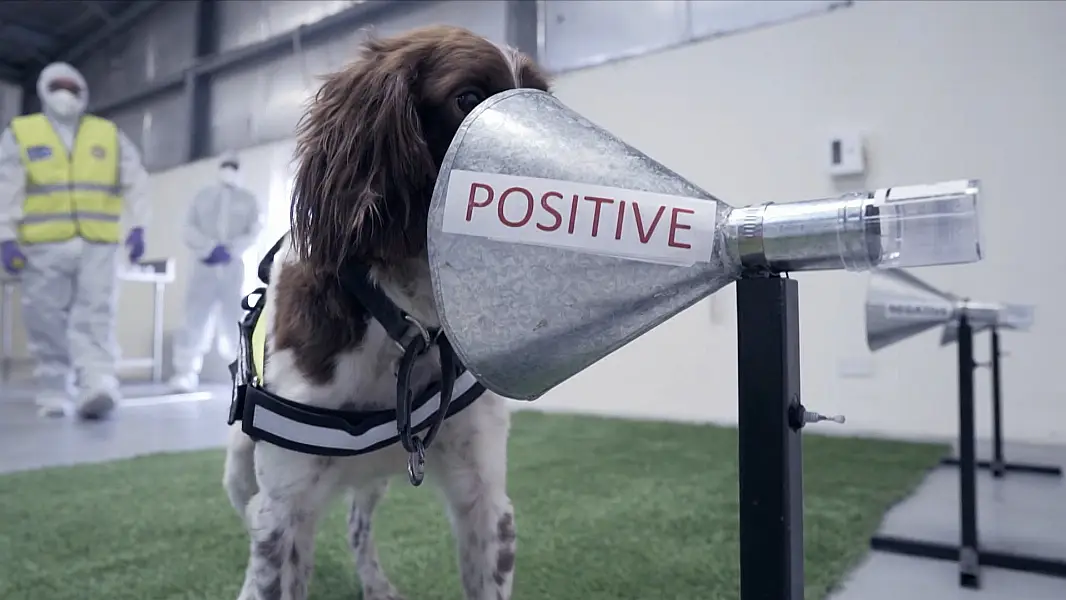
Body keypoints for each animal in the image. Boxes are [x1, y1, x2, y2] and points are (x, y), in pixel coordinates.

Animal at [216, 24, 550, 600]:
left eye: (544, 100)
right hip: (240, 470)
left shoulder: (485, 502)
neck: (405, 324)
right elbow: (273, 560)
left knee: (356, 524)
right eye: (467, 98)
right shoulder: (281, 510)